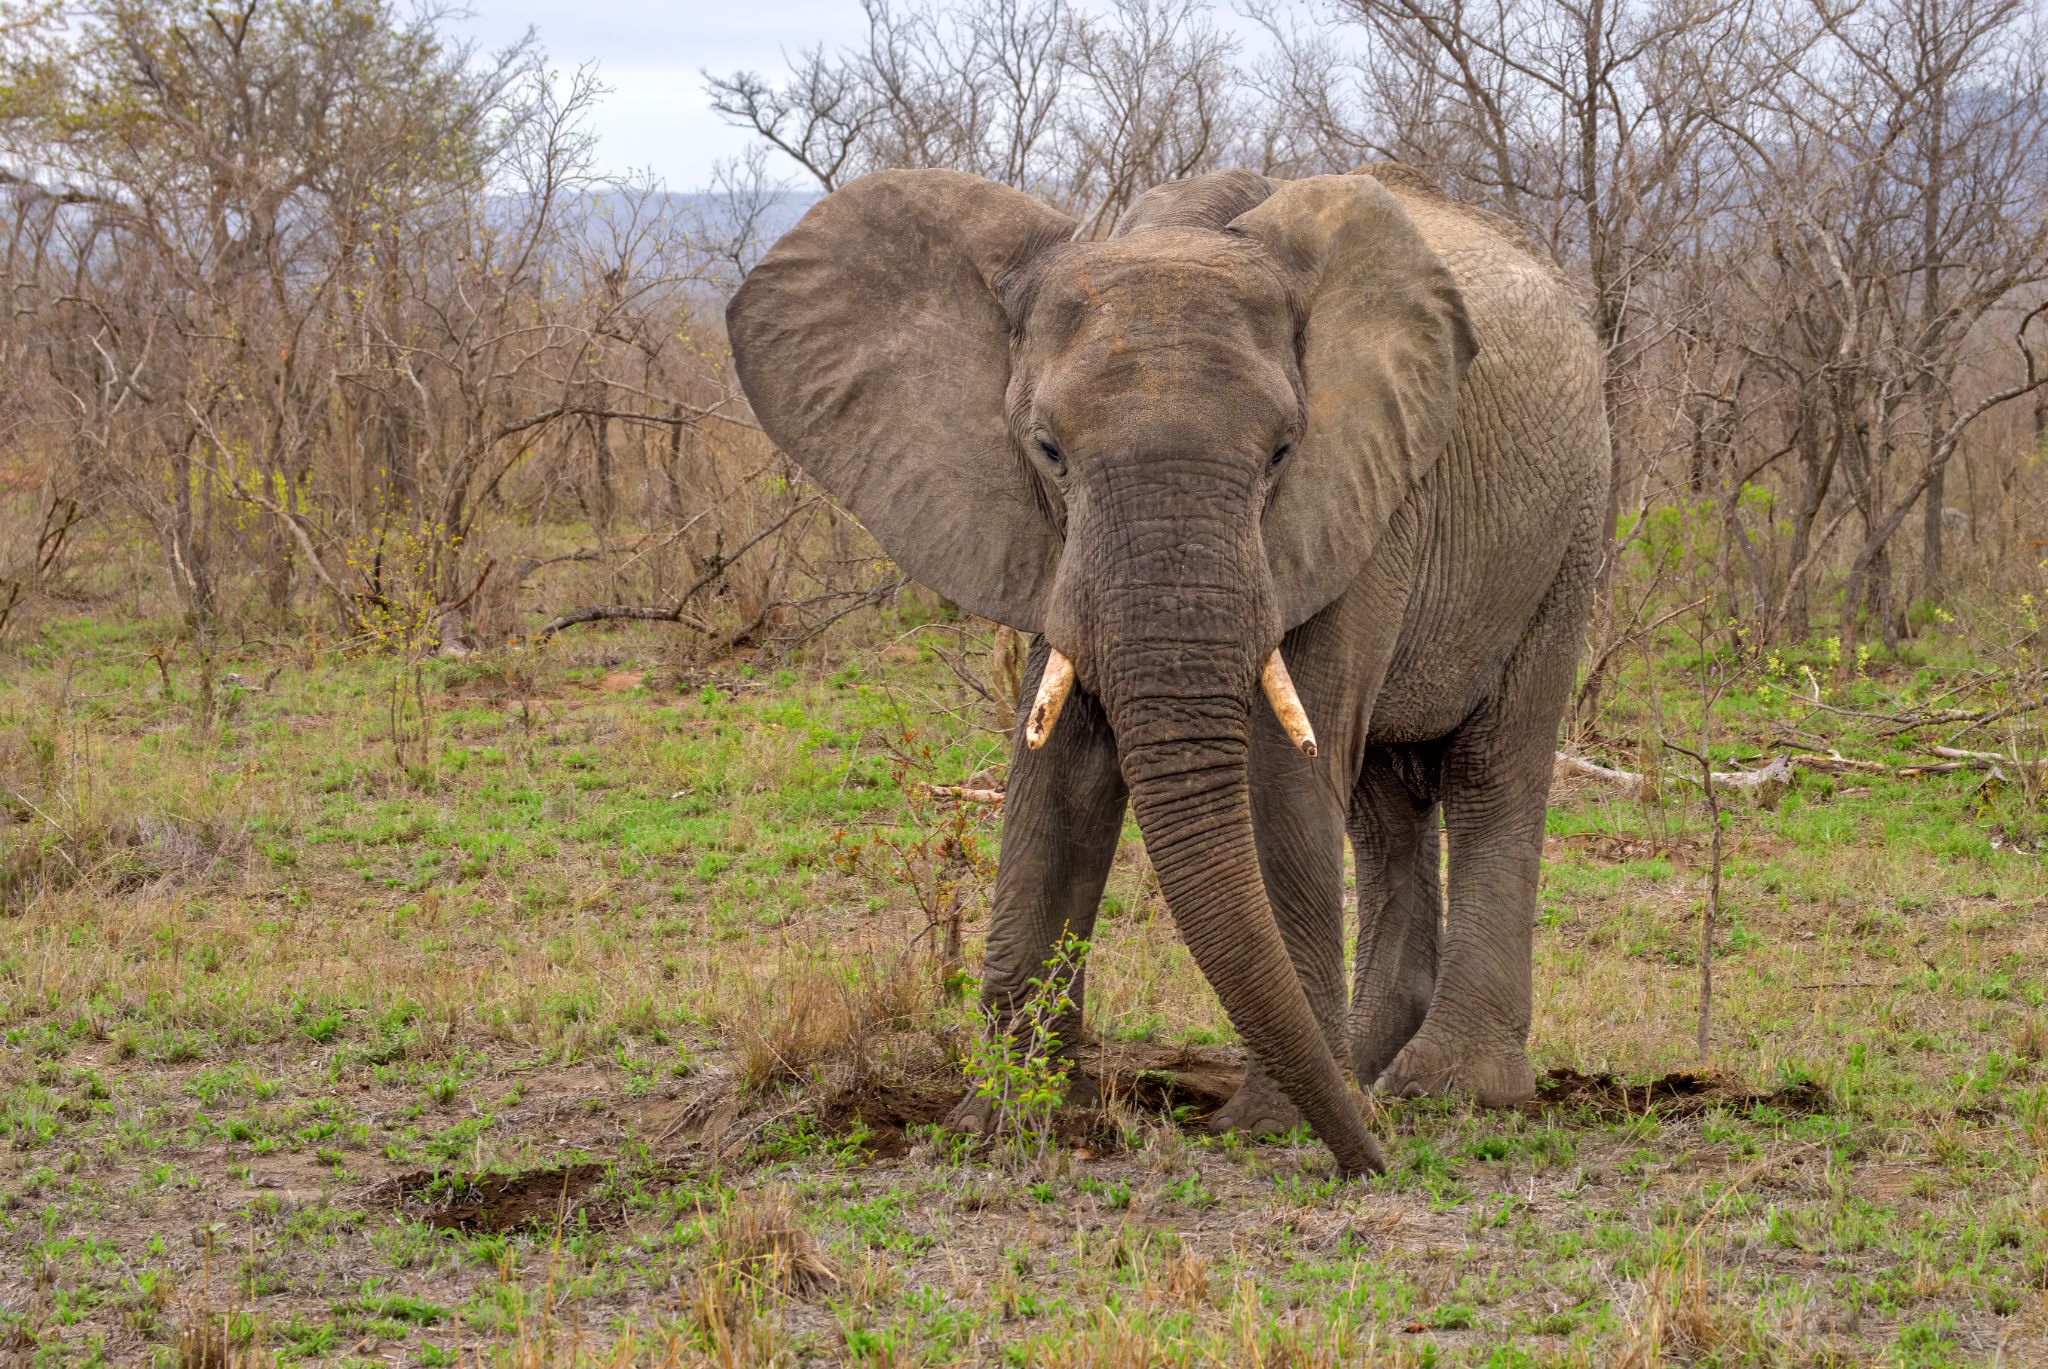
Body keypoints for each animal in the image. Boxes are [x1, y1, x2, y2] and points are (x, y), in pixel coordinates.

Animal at [725, 163, 1607, 1176]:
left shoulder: (1364, 492)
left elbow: (1280, 776)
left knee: (1495, 770)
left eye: (1282, 452)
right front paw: (1004, 1121)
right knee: (1386, 807)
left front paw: (1271, 1125)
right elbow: (1060, 767)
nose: (1370, 1165)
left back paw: (1444, 1087)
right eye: (1048, 450)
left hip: (1571, 524)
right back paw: (1369, 1065)